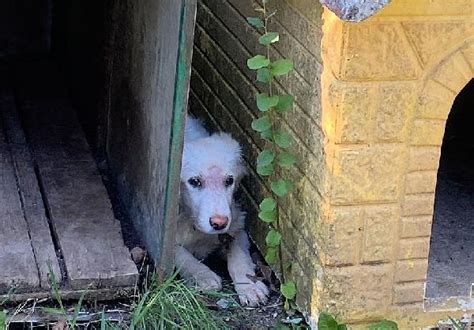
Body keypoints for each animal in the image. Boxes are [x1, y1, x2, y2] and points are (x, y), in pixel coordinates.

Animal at [176, 116, 268, 306]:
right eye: (194, 181)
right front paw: (203, 276)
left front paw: (250, 287)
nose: (219, 223)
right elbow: (181, 254)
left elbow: (239, 256)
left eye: (229, 180)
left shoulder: (236, 227)